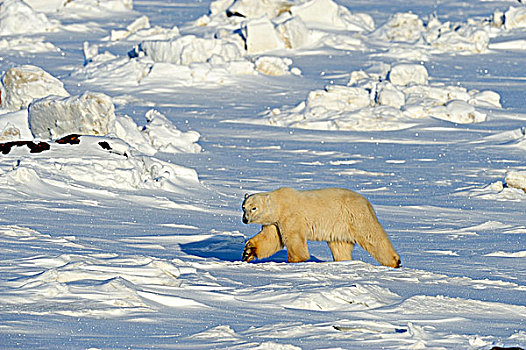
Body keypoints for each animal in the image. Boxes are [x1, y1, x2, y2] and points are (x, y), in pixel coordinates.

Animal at [241, 187, 402, 266]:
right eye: (244, 207)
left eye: (254, 208)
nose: (245, 219)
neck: (280, 204)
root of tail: (366, 201)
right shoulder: (274, 222)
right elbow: (270, 239)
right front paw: (247, 252)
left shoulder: (291, 216)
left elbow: (293, 240)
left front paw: (294, 261)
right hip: (339, 227)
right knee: (340, 246)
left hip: (355, 216)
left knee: (372, 237)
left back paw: (395, 262)